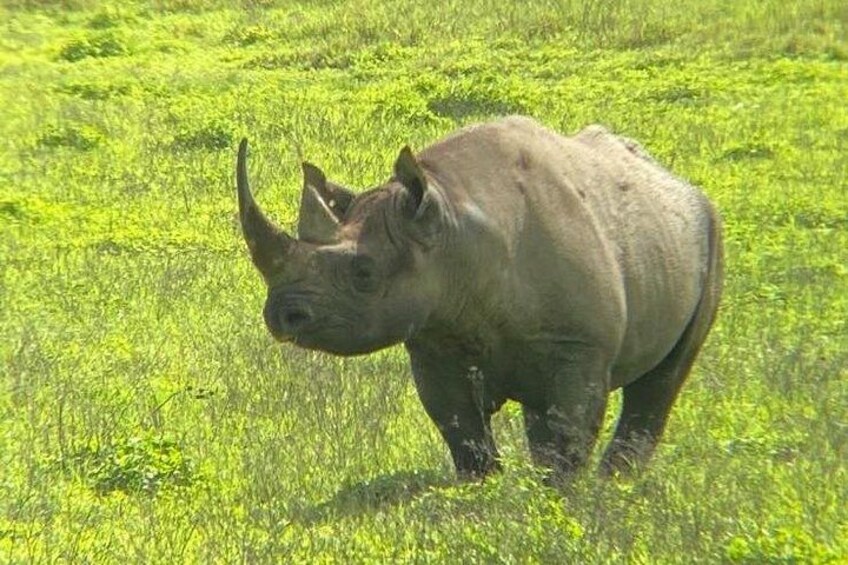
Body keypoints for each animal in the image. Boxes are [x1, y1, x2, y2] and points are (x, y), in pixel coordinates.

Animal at [235, 116, 723, 479]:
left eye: (364, 274)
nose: (281, 315)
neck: (453, 227)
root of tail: (679, 182)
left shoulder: (579, 346)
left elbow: (568, 435)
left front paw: (561, 504)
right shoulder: (436, 340)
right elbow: (464, 436)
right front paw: (484, 498)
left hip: (709, 231)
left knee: (661, 380)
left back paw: (616, 485)